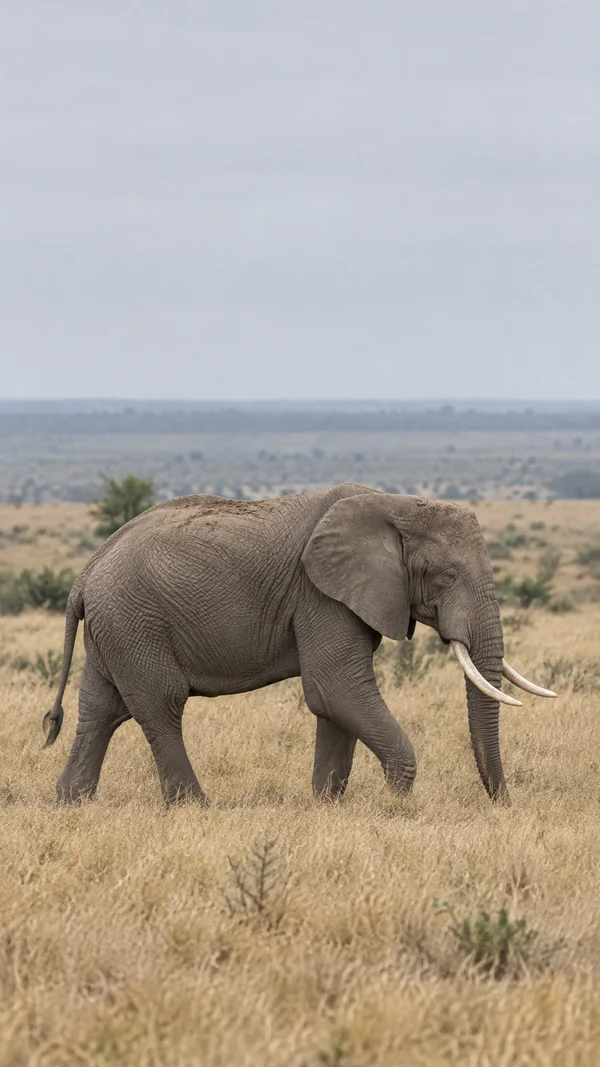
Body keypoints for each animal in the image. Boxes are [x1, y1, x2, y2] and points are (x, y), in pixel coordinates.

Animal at [43, 483, 556, 806]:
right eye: (446, 577)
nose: (502, 805)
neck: (396, 505)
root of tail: (86, 573)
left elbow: (335, 702)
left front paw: (326, 806)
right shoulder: (320, 594)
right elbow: (336, 688)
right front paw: (397, 804)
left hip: (116, 626)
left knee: (101, 709)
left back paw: (73, 803)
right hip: (136, 621)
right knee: (160, 706)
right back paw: (196, 807)